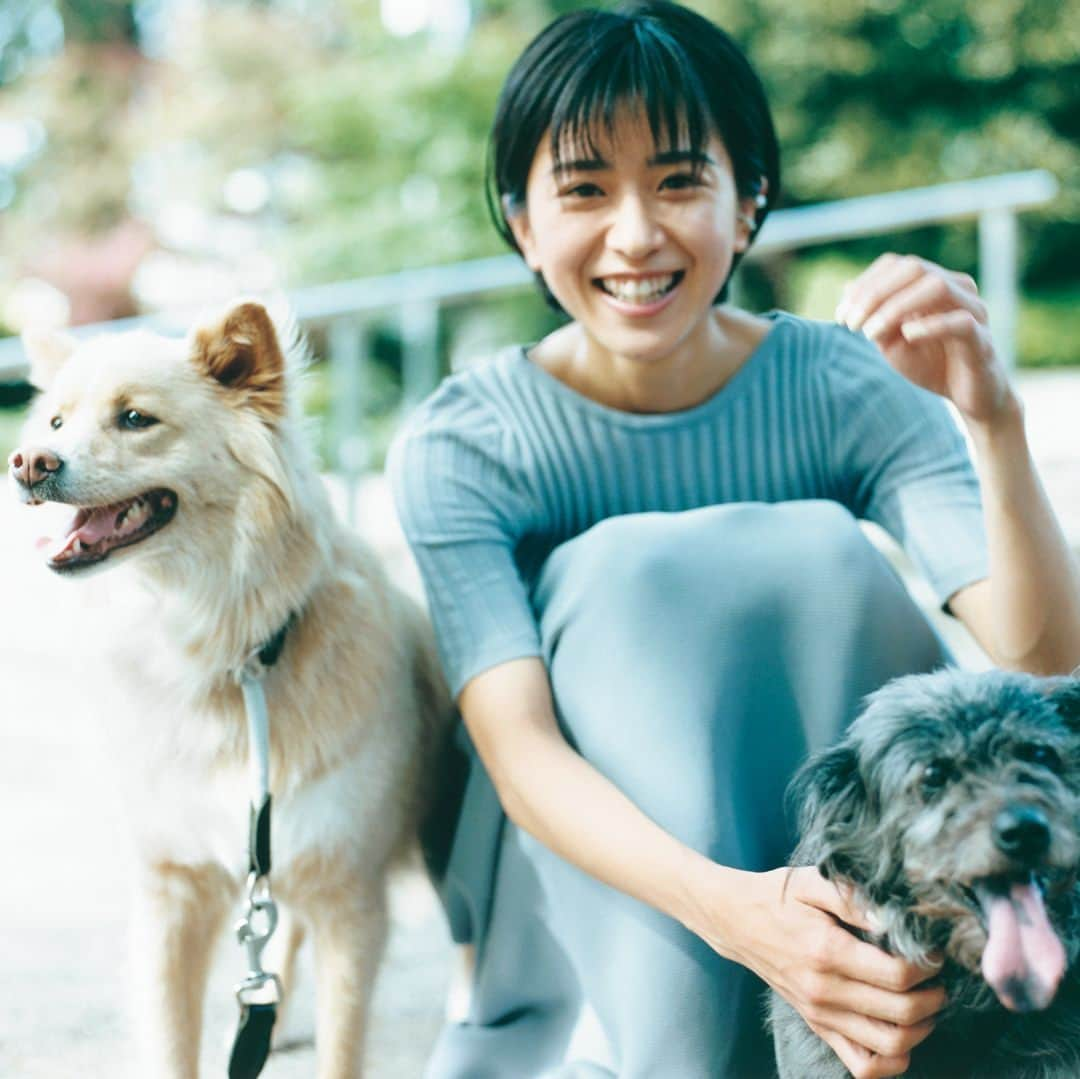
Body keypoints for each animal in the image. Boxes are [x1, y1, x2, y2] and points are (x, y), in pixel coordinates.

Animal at [6, 302, 451, 1079]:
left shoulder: (348, 896)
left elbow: (342, 1046)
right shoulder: (175, 890)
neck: (229, 656)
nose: (29, 461)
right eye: (56, 423)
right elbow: (173, 1040)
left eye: (135, 418)